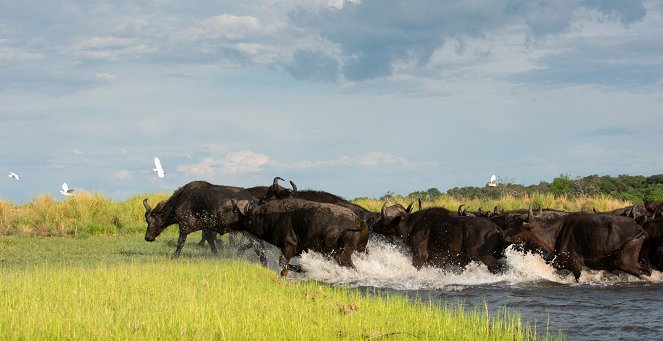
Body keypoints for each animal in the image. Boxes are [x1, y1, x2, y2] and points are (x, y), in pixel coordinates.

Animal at [232, 198, 368, 274]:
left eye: (235, 211)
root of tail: (359, 221)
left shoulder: (288, 246)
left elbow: (283, 264)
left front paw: (303, 269)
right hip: (361, 250)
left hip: (341, 255)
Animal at [374, 202, 508, 270]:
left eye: (384, 220)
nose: (374, 225)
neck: (411, 225)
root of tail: (497, 229)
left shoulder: (420, 255)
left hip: (482, 256)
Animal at [504, 209, 648, 280]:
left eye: (517, 225)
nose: (503, 234)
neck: (555, 234)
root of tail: (640, 230)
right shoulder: (559, 263)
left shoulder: (576, 266)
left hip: (625, 261)